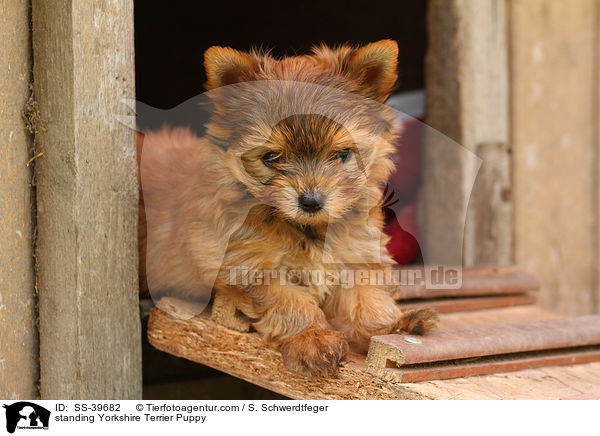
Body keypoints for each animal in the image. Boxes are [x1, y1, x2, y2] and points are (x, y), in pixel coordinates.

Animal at [139, 39, 438, 376]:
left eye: (342, 154)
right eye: (272, 157)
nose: (311, 201)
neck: (304, 228)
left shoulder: (357, 253)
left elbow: (364, 296)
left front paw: (388, 327)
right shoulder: (248, 263)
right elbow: (287, 300)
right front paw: (312, 337)